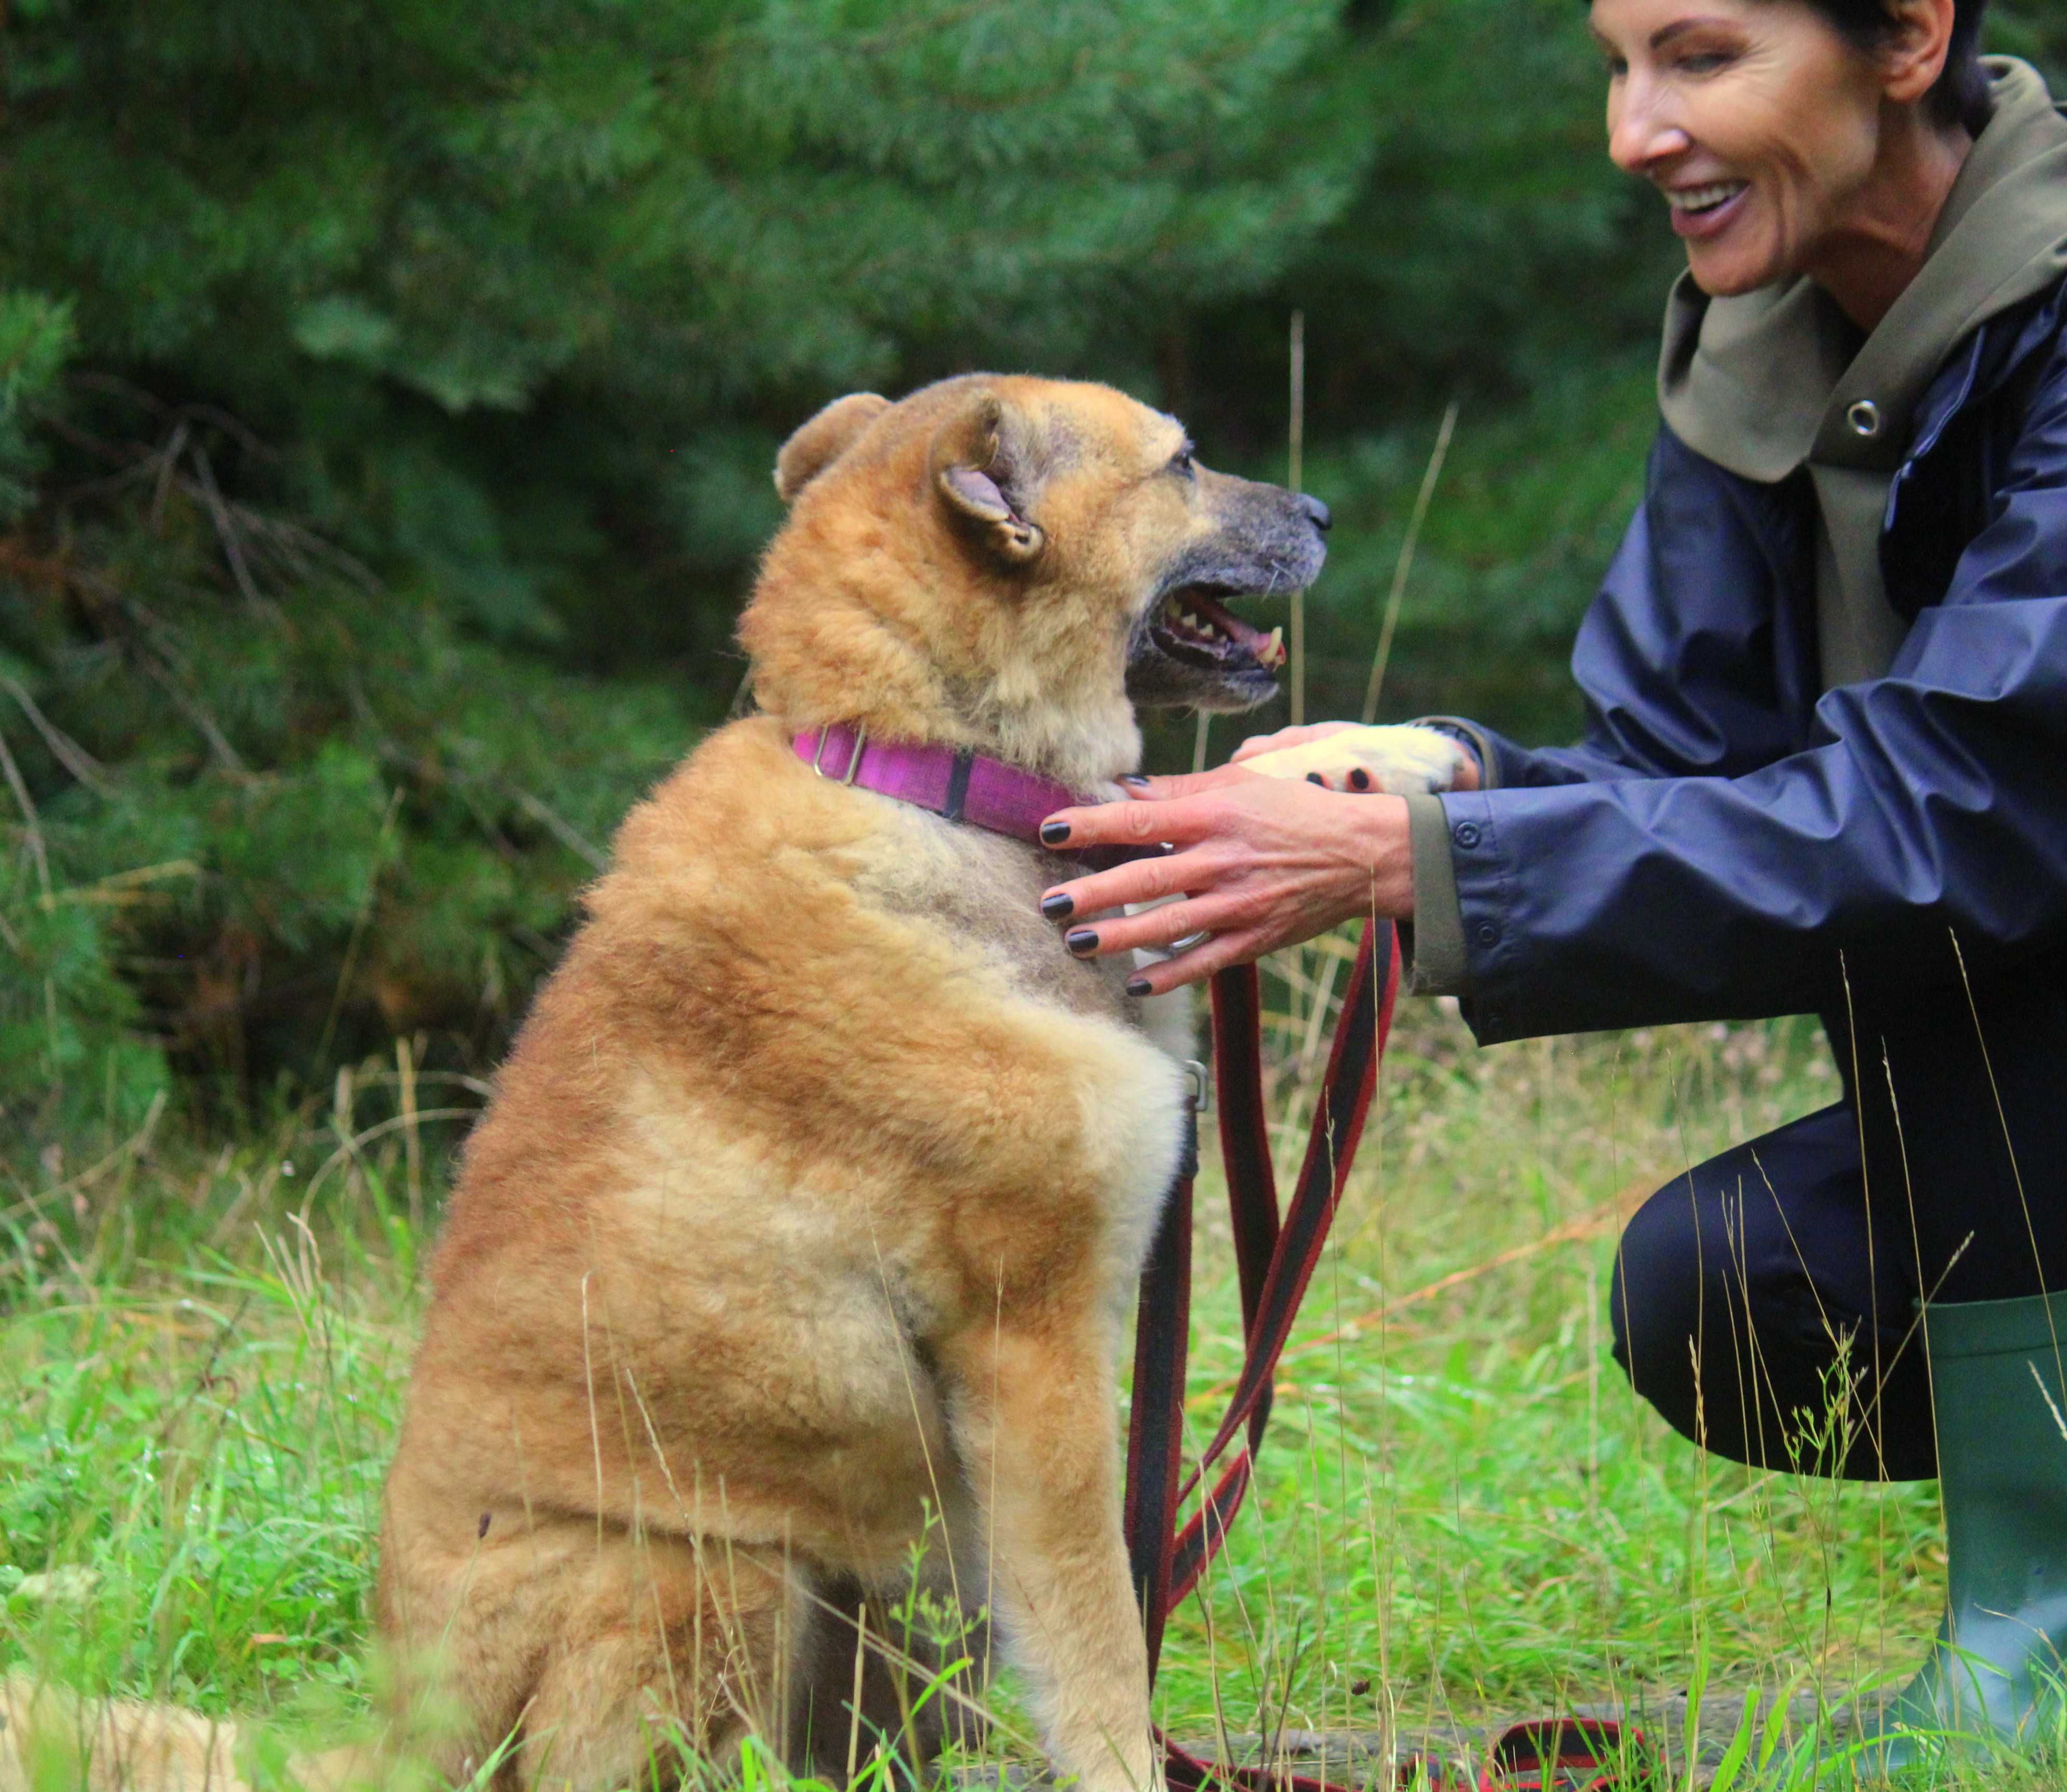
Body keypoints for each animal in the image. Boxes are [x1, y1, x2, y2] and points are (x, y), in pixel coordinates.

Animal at [361, 372, 1323, 1786]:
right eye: (1184, 462)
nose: (1320, 511)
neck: (942, 780)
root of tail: (398, 1739)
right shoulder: (1034, 1342)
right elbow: (1098, 1625)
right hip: (715, 1571)